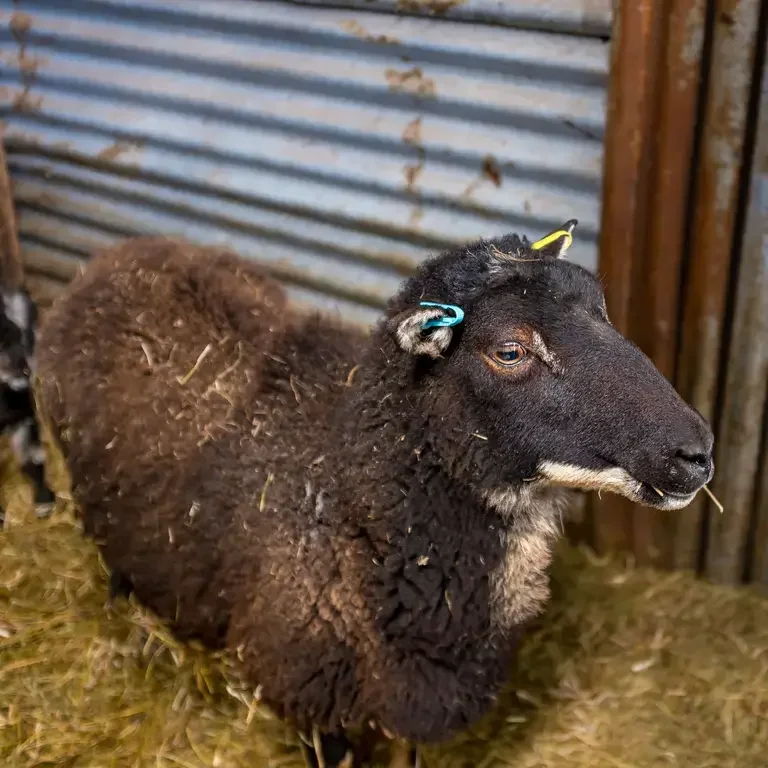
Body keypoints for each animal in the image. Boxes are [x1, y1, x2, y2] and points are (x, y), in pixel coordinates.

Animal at [36, 227, 714, 767]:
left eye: (603, 311)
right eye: (510, 350)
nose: (697, 453)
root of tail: (121, 254)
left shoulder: (411, 697)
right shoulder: (314, 699)